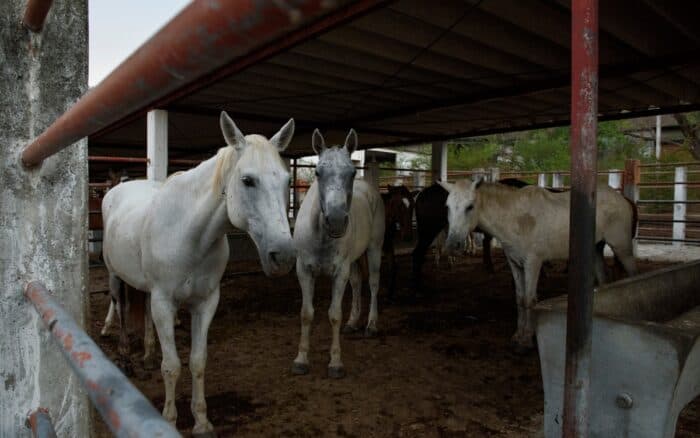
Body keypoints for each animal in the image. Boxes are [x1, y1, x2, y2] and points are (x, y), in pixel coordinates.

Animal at [102, 112, 296, 435]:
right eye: (247, 180)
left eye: (287, 180)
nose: (284, 256)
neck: (190, 234)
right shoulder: (165, 302)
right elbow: (172, 366)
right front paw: (169, 419)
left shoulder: (205, 302)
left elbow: (197, 361)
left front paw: (202, 422)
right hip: (115, 276)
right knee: (122, 308)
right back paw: (126, 357)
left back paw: (147, 354)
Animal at [292, 129, 385, 378]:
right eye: (317, 172)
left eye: (351, 173)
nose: (335, 221)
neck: (321, 236)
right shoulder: (304, 271)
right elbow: (306, 313)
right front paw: (301, 360)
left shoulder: (338, 273)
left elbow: (334, 315)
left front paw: (335, 363)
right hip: (353, 260)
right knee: (357, 282)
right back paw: (353, 323)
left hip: (374, 249)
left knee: (373, 283)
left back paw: (371, 325)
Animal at [439, 179, 637, 351]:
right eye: (447, 207)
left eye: (470, 206)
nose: (453, 245)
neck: (515, 218)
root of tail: (624, 200)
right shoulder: (515, 264)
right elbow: (519, 299)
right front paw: (517, 336)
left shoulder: (533, 263)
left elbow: (529, 300)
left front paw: (527, 340)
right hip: (595, 250)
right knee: (604, 281)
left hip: (622, 249)